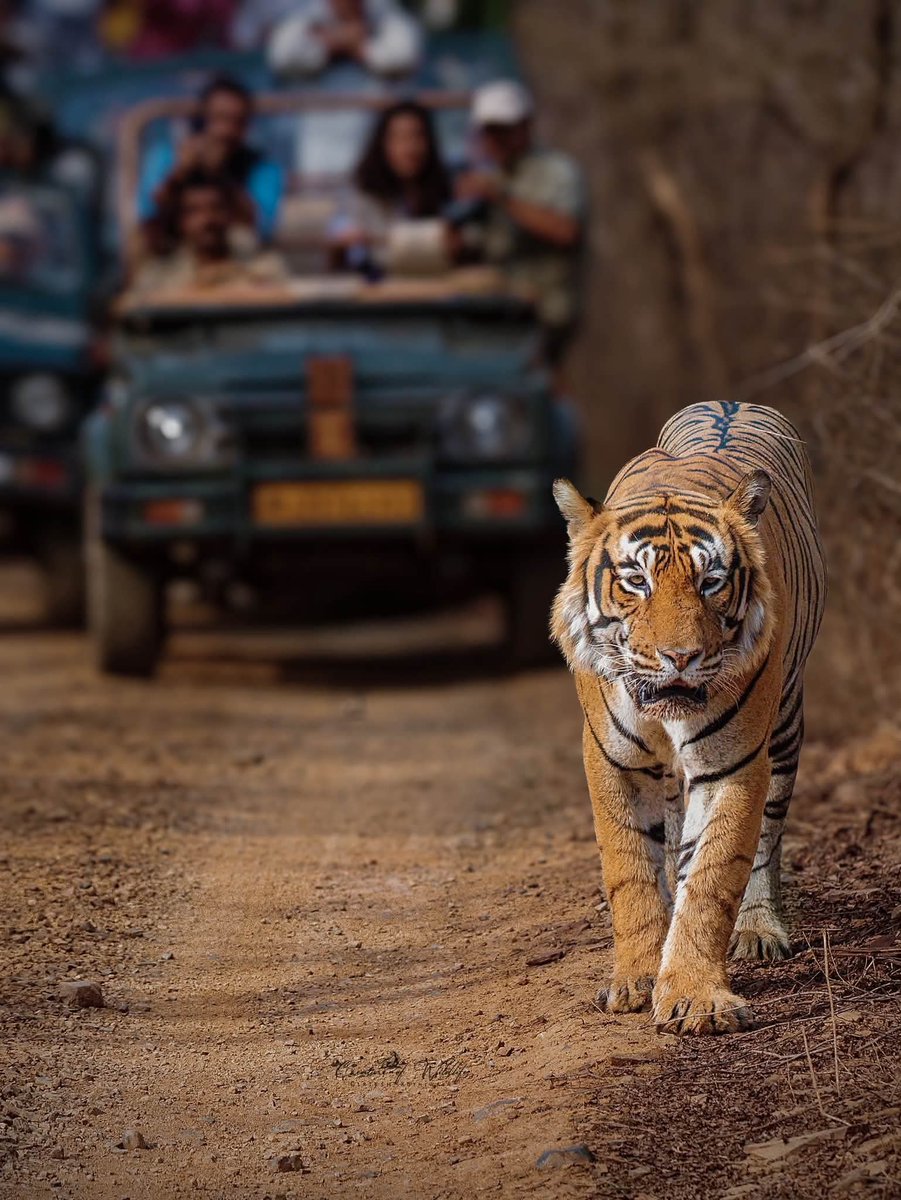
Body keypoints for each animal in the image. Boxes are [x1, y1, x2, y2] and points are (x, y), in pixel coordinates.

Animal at [551, 401, 825, 1035]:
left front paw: (696, 996)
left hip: (785, 725)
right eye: (636, 581)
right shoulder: (614, 760)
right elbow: (631, 870)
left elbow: (713, 874)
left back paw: (759, 927)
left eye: (711, 581)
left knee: (766, 837)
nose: (681, 657)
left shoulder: (734, 761)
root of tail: (731, 403)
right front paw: (636, 979)